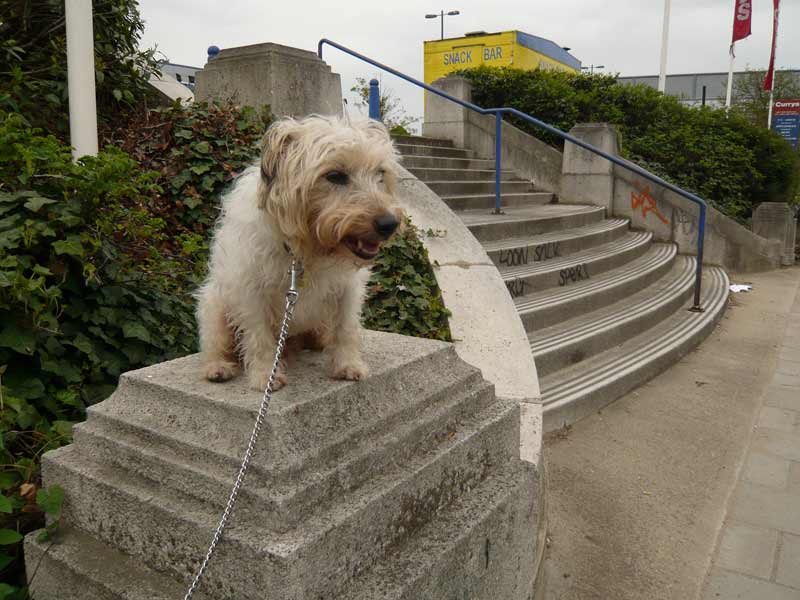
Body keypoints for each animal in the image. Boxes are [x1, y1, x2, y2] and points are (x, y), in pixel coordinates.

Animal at [195, 115, 406, 392]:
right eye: (335, 175)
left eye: (380, 173)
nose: (389, 224)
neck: (306, 251)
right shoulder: (250, 292)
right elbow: (259, 336)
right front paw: (265, 375)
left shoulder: (348, 289)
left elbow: (345, 328)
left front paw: (348, 364)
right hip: (214, 304)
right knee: (215, 342)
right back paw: (217, 366)